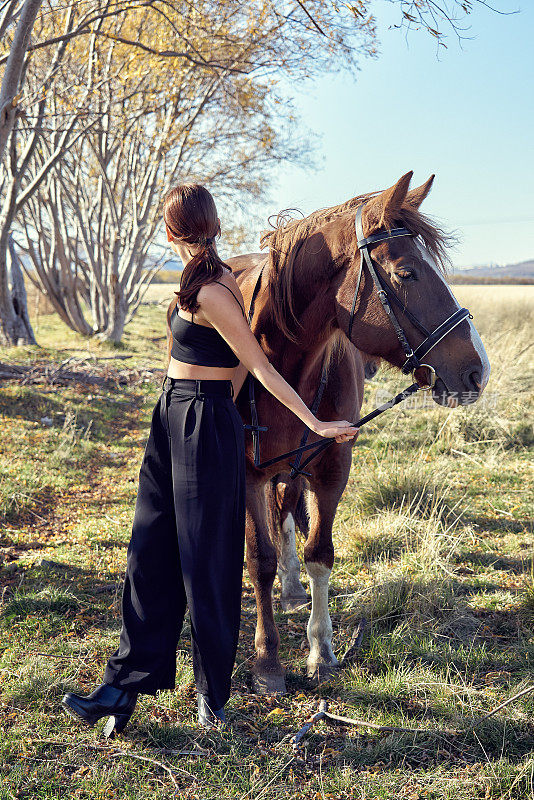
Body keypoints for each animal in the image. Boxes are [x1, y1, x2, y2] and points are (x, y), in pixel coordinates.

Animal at [224, 170, 492, 692]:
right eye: (407, 272)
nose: (478, 370)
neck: (281, 366)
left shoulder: (332, 466)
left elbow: (319, 553)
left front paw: (320, 649)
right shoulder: (247, 472)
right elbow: (258, 559)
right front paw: (267, 659)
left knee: (288, 509)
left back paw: (293, 588)